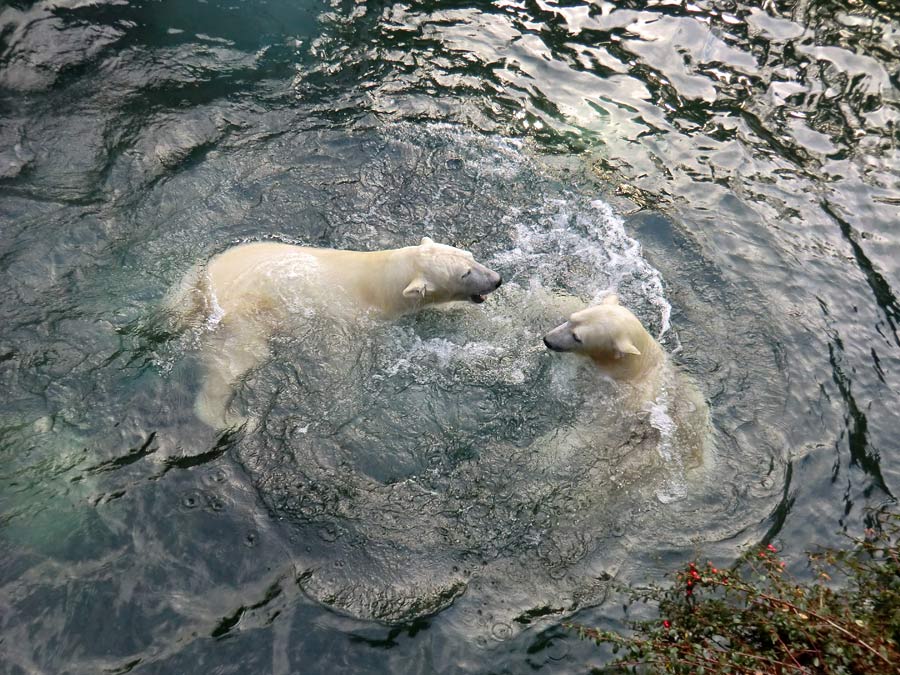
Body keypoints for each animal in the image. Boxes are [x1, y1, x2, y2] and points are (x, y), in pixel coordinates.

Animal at [172, 238, 502, 428]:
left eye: (470, 256)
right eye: (464, 274)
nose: (497, 280)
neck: (377, 280)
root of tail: (202, 292)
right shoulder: (352, 317)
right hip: (246, 319)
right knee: (236, 362)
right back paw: (235, 419)